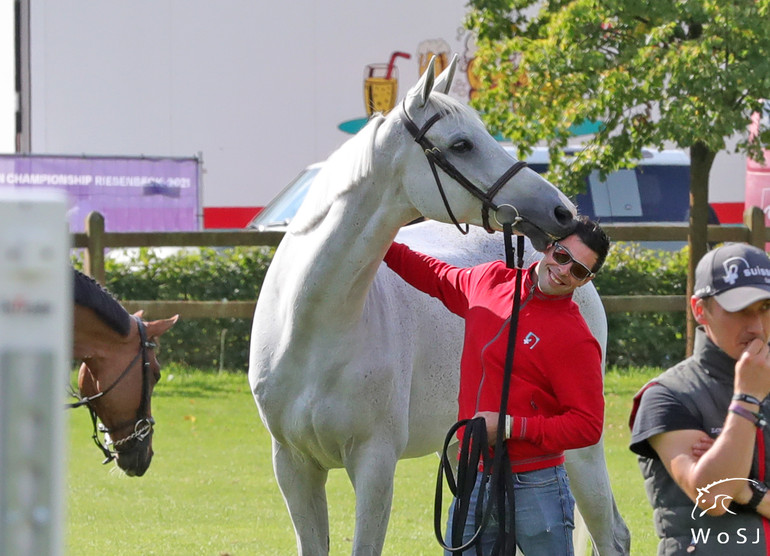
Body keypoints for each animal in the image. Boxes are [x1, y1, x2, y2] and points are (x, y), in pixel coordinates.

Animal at [249, 54, 628, 552]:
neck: (311, 329)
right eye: (462, 144)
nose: (564, 212)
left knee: (612, 533)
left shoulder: (374, 462)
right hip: (462, 444)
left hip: (582, 451)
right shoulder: (292, 465)